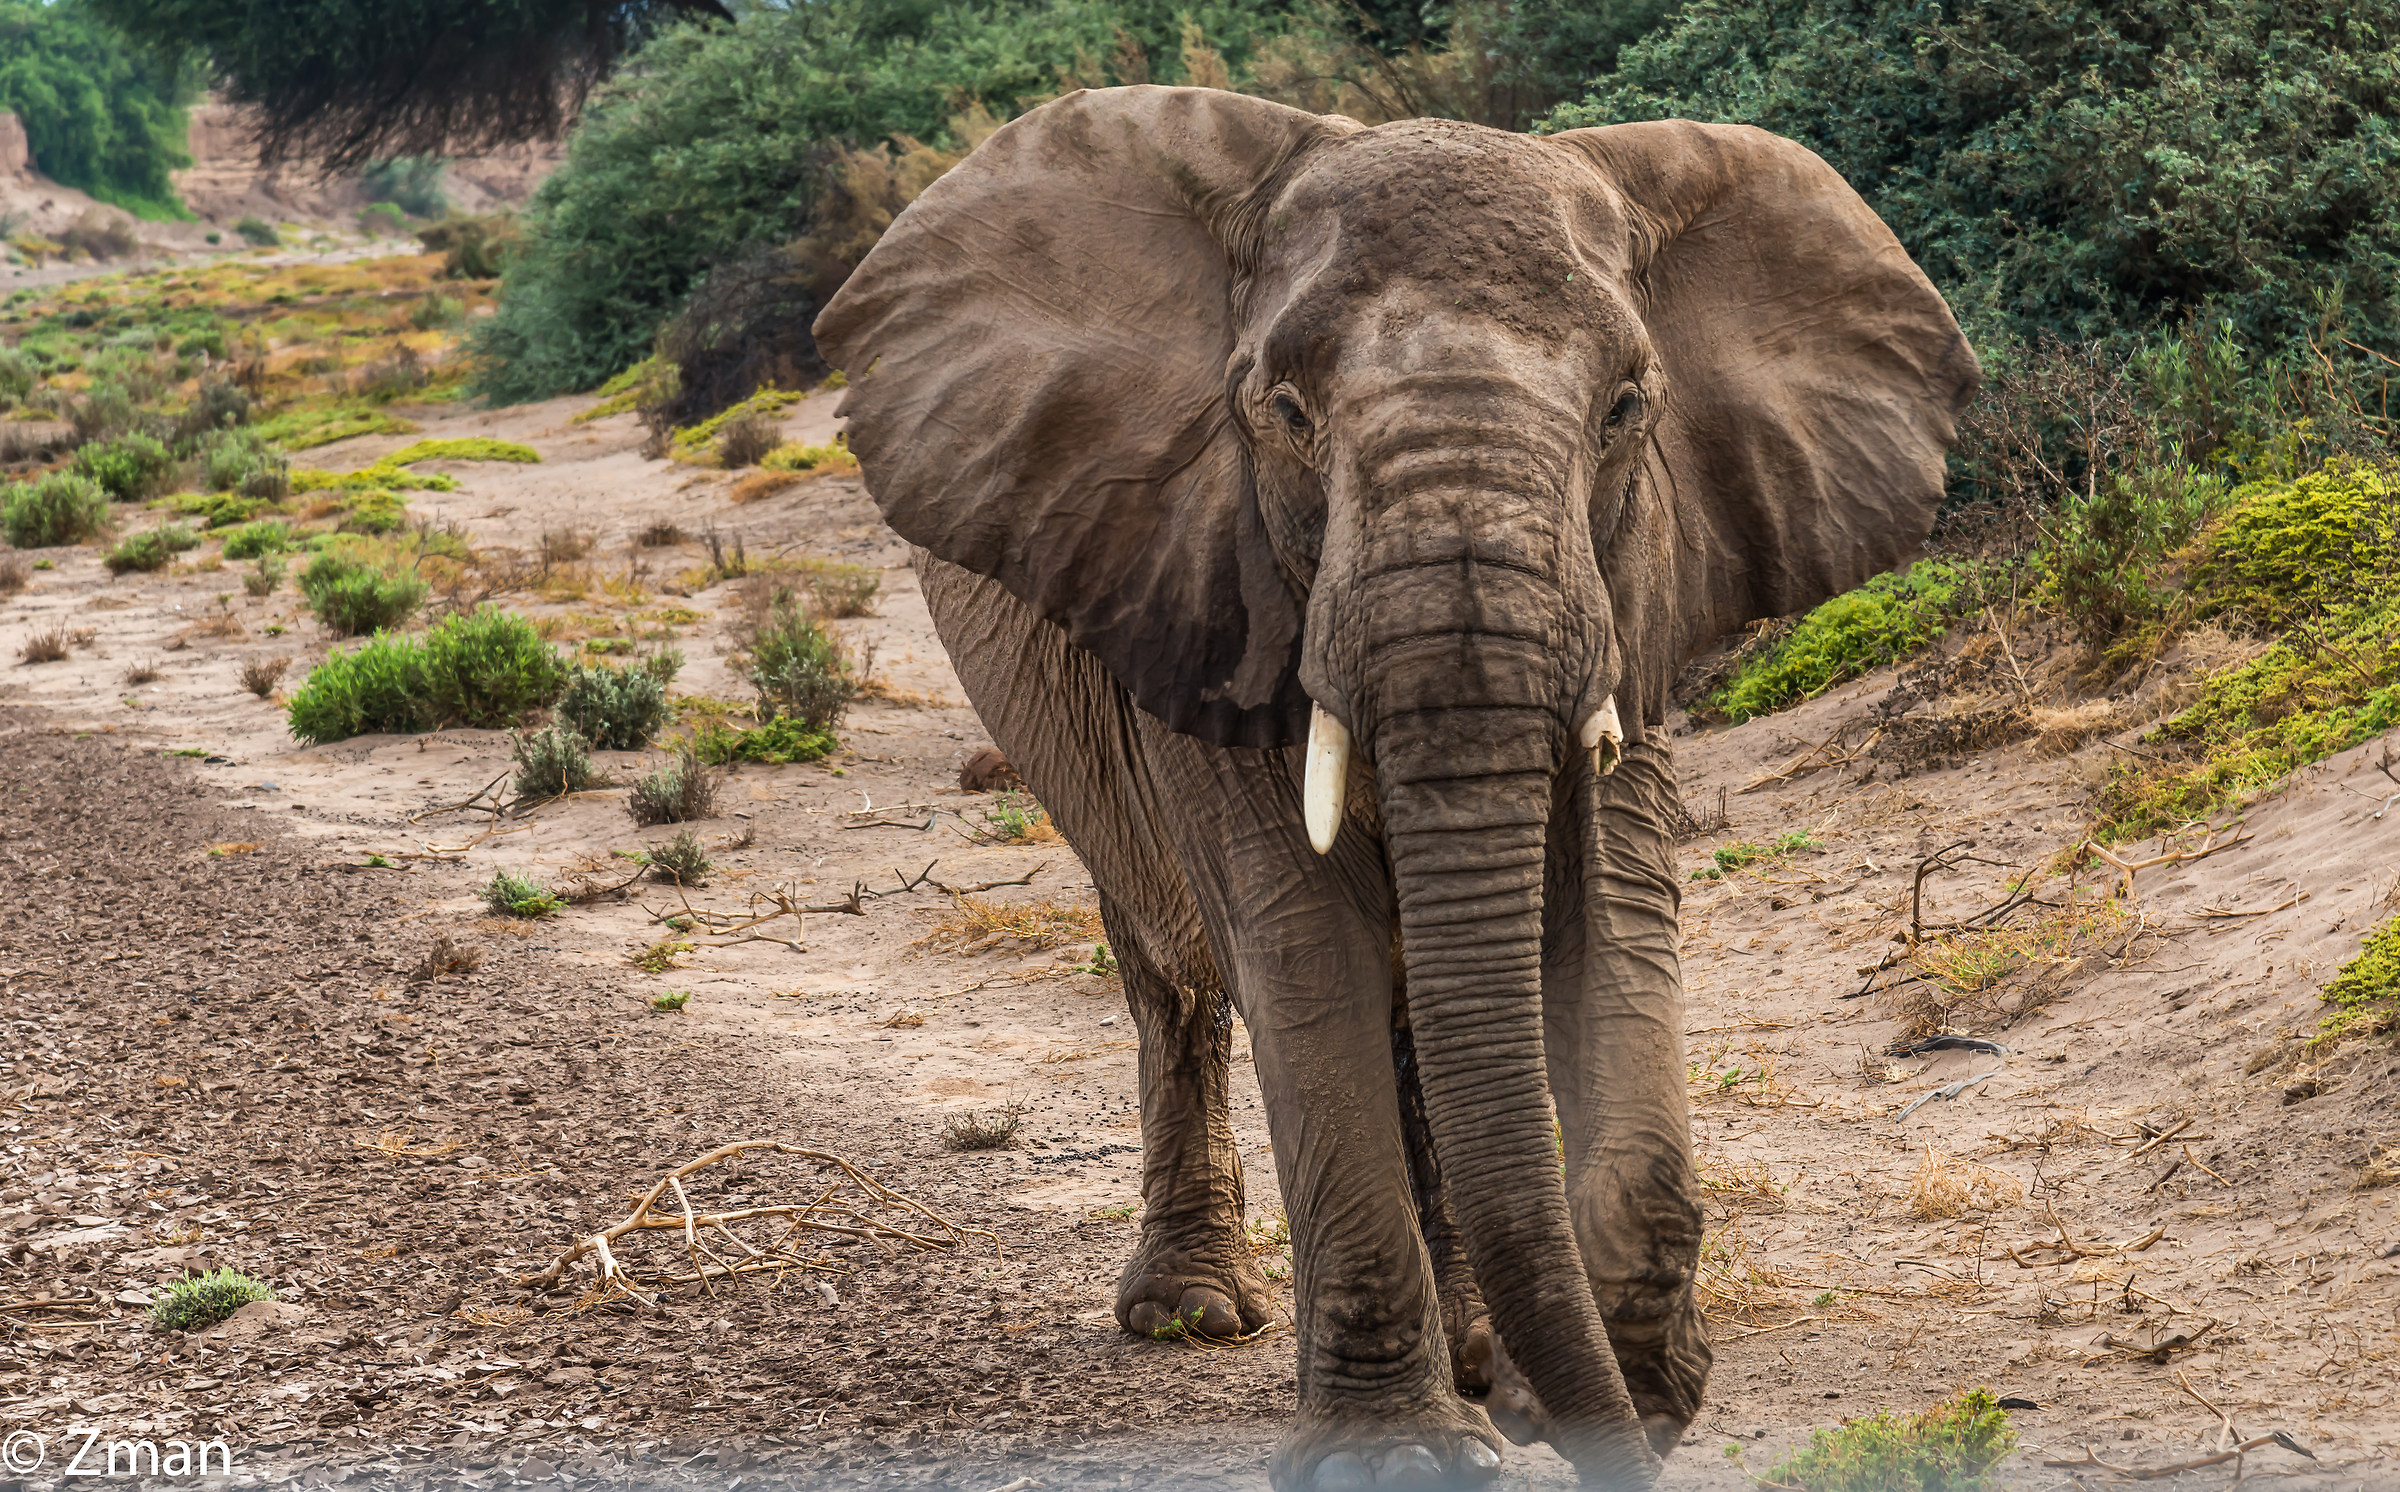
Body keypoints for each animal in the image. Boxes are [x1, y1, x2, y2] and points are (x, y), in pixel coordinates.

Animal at [814, 86, 1977, 1490]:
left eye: (1627, 406)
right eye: (1285, 411)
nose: (1602, 1441)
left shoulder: (1636, 589)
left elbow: (1611, 916)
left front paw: (1627, 1383)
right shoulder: (1214, 585)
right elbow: (1304, 946)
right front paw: (1410, 1453)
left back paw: (1474, 1351)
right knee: (1177, 965)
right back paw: (1197, 1312)